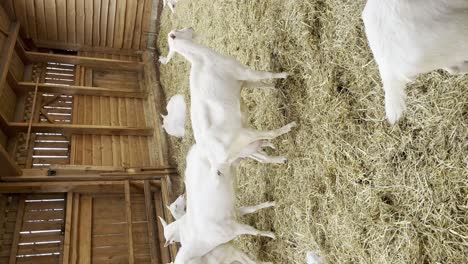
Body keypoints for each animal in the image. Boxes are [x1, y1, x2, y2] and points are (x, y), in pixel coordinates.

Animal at [159, 27, 294, 173]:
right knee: (270, 135)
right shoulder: (242, 71)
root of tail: (217, 161)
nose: (190, 28)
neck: (201, 58)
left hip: (244, 149)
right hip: (244, 136)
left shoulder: (242, 82)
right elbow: (264, 75)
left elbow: (262, 84)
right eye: (178, 30)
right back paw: (289, 127)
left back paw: (281, 159)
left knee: (262, 157)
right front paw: (285, 74)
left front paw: (276, 86)